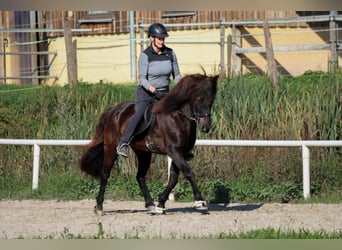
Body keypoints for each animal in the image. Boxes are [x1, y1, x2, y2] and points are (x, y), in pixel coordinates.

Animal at [79, 73, 219, 214]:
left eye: (212, 99)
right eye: (199, 98)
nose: (205, 127)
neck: (178, 117)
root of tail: (113, 110)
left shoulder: (179, 152)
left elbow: (173, 179)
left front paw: (160, 204)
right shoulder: (173, 150)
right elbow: (188, 173)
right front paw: (199, 201)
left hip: (143, 152)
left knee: (140, 176)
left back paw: (150, 204)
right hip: (111, 149)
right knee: (105, 174)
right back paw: (99, 207)